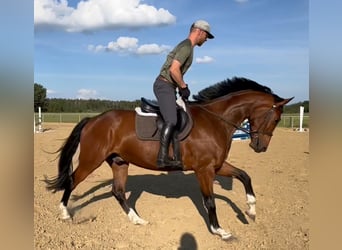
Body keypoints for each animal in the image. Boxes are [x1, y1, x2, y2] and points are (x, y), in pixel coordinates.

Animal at [44, 76, 292, 240]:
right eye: (276, 119)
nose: (260, 147)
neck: (216, 120)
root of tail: (93, 120)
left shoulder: (216, 165)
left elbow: (244, 176)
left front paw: (251, 210)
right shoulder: (204, 169)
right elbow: (210, 201)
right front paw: (219, 230)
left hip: (119, 162)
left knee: (118, 191)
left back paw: (137, 219)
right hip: (91, 160)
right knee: (72, 181)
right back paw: (65, 214)